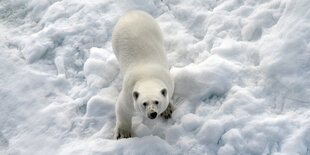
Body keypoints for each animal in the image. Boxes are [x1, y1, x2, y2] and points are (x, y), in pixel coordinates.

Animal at [112, 10, 174, 139]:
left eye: (157, 101)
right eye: (144, 103)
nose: (152, 113)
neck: (147, 77)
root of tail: (131, 12)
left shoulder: (168, 82)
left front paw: (167, 111)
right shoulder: (128, 94)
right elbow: (122, 108)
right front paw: (122, 133)